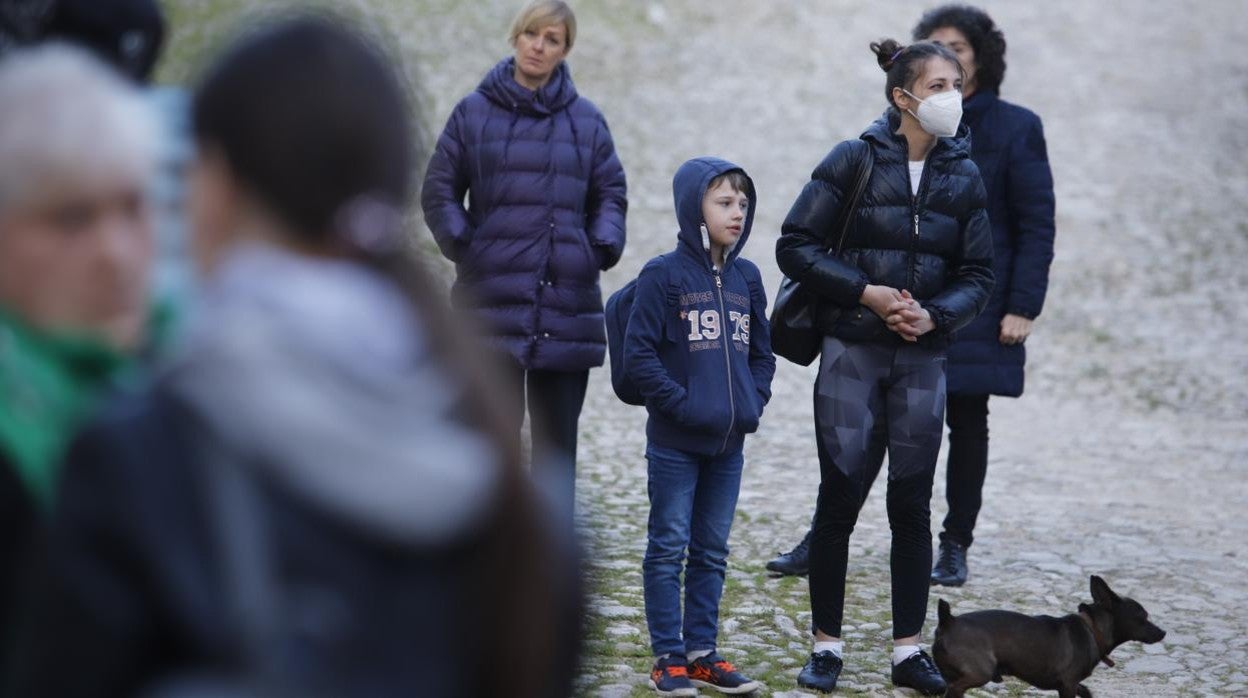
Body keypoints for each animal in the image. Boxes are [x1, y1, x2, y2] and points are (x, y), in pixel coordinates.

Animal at [933, 576, 1163, 694]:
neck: (1093, 629)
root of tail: (949, 621)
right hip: (980, 673)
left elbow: (1086, 691)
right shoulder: (1068, 685)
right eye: (1143, 617)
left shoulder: (1071, 684)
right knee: (955, 687)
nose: (1163, 632)